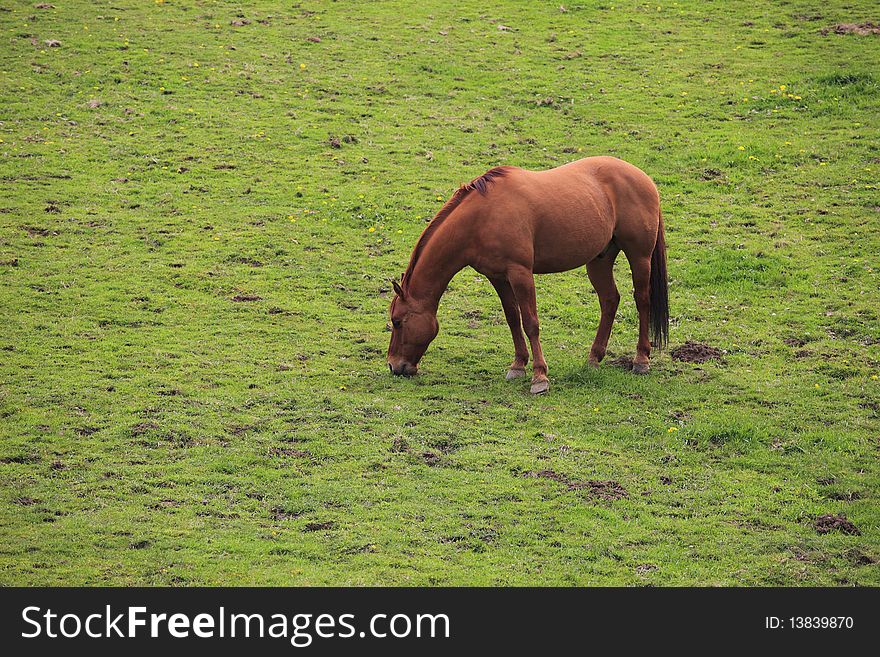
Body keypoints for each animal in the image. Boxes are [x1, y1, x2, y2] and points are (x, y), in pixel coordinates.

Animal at [384, 156, 668, 392]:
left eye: (397, 322)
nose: (394, 366)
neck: (483, 217)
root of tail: (645, 179)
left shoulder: (520, 273)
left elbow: (531, 323)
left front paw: (539, 377)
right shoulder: (498, 277)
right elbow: (512, 318)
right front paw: (518, 365)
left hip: (639, 256)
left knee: (642, 300)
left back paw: (641, 360)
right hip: (599, 260)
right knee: (610, 301)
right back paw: (594, 358)